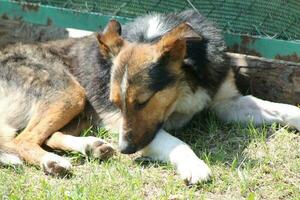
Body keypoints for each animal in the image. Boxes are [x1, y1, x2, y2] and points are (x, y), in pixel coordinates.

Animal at [0, 9, 300, 184]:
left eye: (143, 101)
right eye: (116, 103)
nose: (125, 150)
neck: (183, 88)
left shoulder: (229, 102)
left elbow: (282, 108)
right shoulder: (129, 127)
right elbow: (178, 143)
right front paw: (194, 166)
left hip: (77, 105)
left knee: (43, 136)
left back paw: (91, 147)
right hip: (70, 93)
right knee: (22, 139)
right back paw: (53, 162)